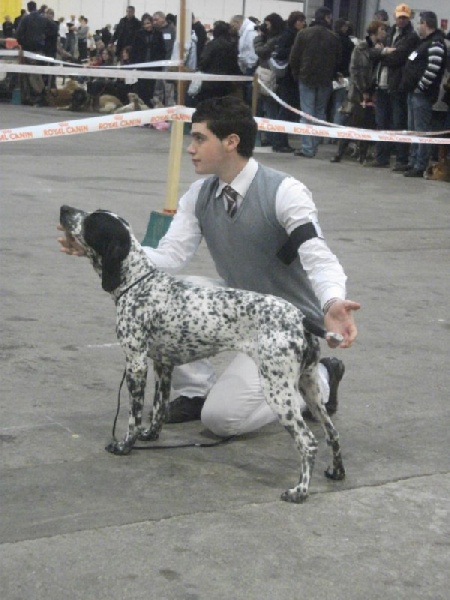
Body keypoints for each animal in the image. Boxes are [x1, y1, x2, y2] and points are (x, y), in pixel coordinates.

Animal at [59, 205, 346, 502]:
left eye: (91, 221)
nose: (64, 209)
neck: (137, 284)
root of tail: (300, 317)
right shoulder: (162, 365)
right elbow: (159, 408)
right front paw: (151, 435)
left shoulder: (136, 364)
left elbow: (134, 417)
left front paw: (125, 445)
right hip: (307, 385)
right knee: (331, 433)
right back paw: (336, 471)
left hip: (277, 390)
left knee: (308, 442)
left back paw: (300, 490)